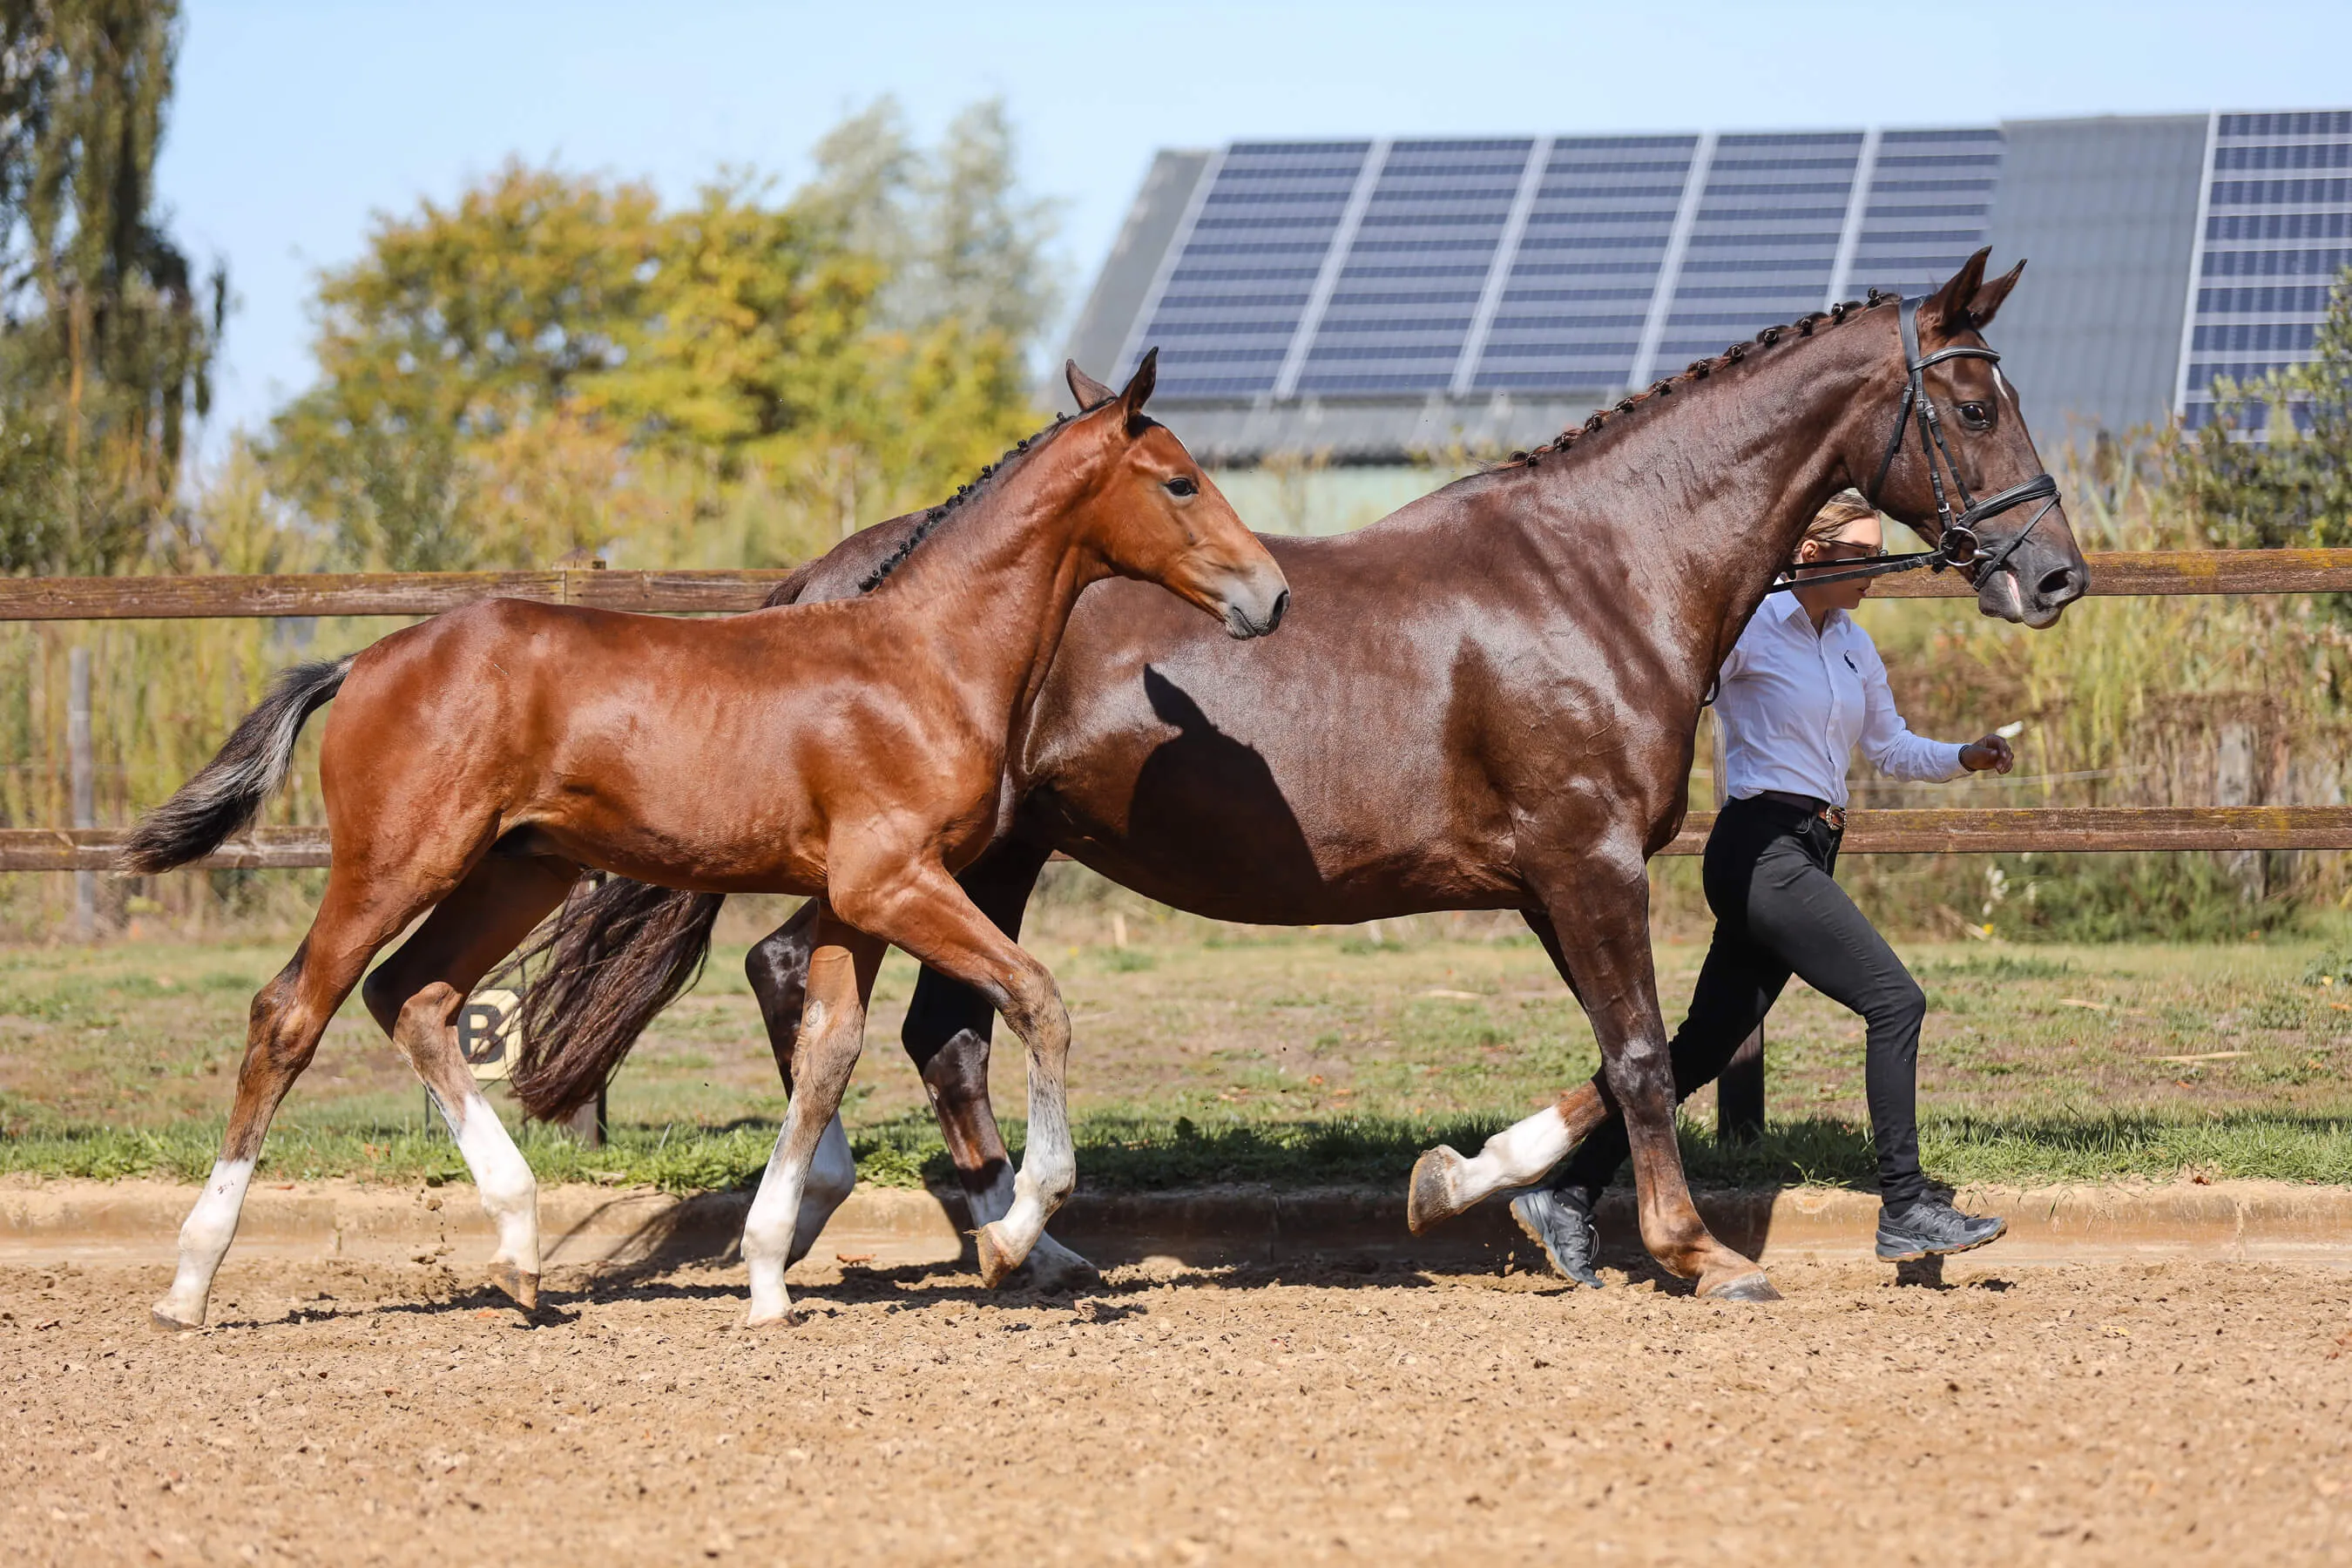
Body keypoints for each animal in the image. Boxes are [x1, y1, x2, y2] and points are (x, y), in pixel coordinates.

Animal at [122, 352, 1290, 1329]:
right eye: (1180, 482)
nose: (1271, 596)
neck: (924, 658)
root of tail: (363, 661)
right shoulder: (894, 884)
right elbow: (1037, 1000)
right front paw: (1011, 1238)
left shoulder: (857, 902)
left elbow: (826, 1053)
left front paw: (768, 1277)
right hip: (394, 863)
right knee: (291, 1013)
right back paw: (190, 1281)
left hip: (514, 873)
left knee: (414, 998)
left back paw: (521, 1253)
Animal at [511, 249, 2088, 1302]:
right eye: (1971, 409)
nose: (2052, 575)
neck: (1603, 571)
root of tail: (854, 574)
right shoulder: (1584, 859)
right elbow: (1645, 1053)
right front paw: (1697, 1251)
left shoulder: (1554, 882)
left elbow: (1621, 1056)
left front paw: (1474, 1187)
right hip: (931, 858)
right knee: (815, 980)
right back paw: (884, 1213)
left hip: (992, 856)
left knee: (929, 1029)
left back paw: (1023, 1237)